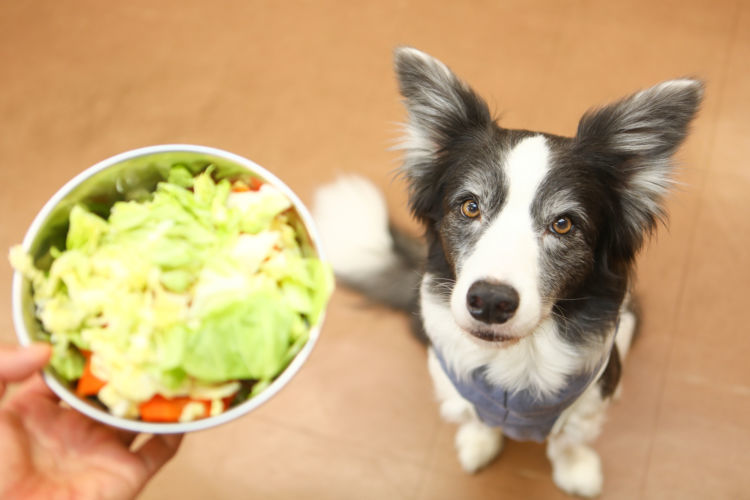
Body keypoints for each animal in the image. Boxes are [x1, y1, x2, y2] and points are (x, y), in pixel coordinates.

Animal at [314, 46, 708, 496]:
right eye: (470, 206)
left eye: (563, 224)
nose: (490, 301)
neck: (519, 361)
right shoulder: (453, 380)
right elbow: (475, 417)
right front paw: (478, 443)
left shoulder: (590, 390)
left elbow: (571, 436)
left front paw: (576, 468)